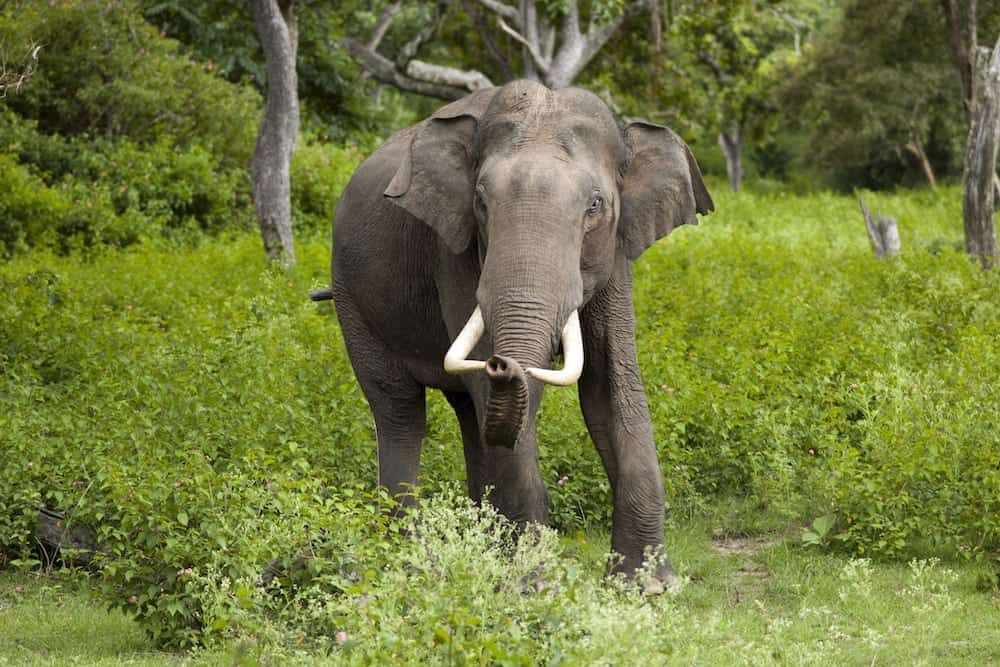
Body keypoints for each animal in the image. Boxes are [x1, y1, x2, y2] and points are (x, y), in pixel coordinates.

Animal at [316, 79, 716, 588]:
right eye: (481, 202)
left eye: (595, 205)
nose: (502, 362)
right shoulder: (454, 250)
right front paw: (535, 585)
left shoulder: (617, 252)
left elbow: (610, 386)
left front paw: (648, 586)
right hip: (352, 299)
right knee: (401, 411)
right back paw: (409, 560)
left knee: (469, 414)